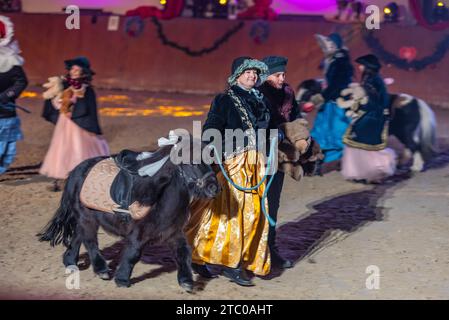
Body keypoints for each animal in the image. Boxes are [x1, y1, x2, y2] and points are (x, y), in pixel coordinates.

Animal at [38, 142, 219, 292]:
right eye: (191, 161)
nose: (213, 188)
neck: (158, 197)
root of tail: (76, 171)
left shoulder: (173, 233)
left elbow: (183, 252)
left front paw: (186, 281)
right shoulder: (138, 233)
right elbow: (133, 254)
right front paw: (122, 279)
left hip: (84, 219)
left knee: (78, 236)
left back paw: (70, 261)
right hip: (87, 218)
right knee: (90, 241)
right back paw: (101, 270)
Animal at [296, 79, 436, 171]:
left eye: (307, 92)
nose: (299, 107)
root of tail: (416, 101)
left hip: (406, 131)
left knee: (413, 145)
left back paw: (416, 166)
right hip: (402, 132)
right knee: (410, 146)